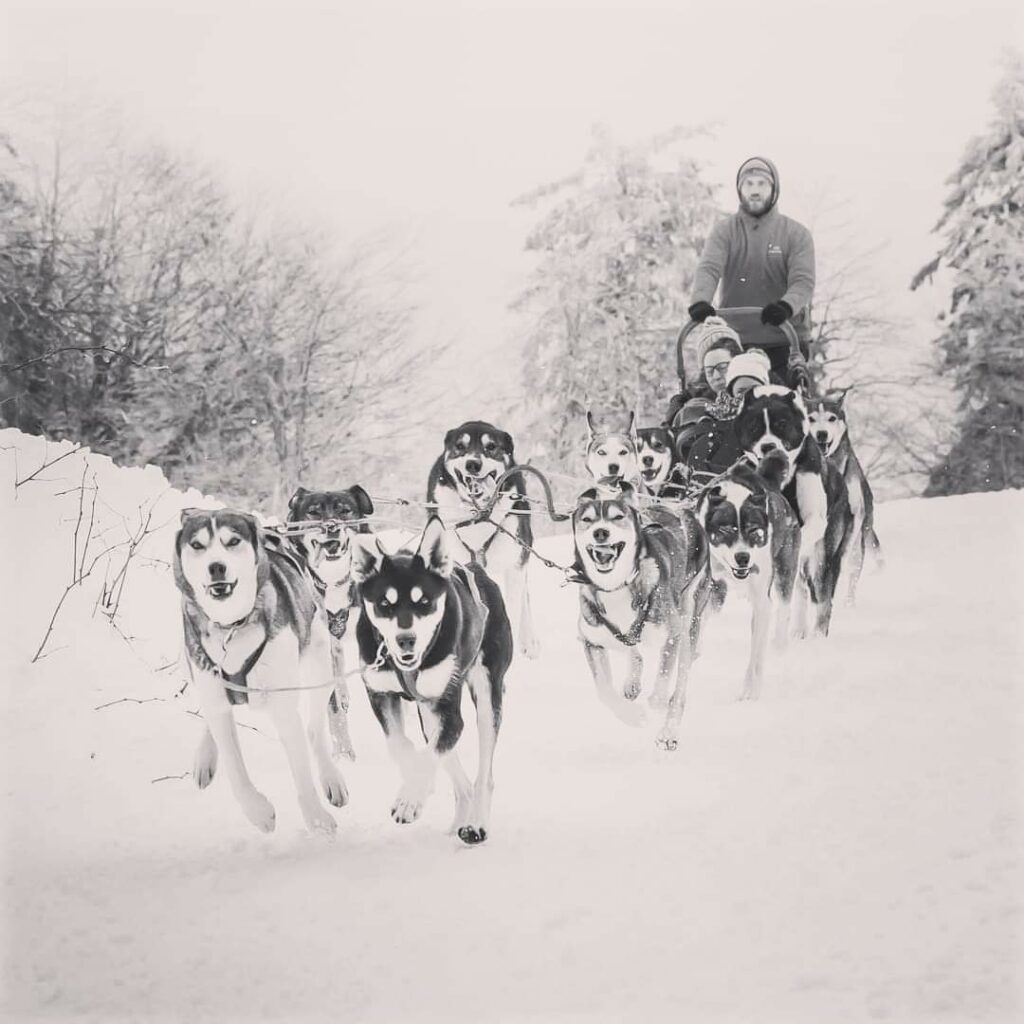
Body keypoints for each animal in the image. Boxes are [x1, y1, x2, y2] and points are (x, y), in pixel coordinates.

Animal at [174, 507, 346, 835]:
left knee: (315, 729)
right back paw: (205, 756)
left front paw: (316, 818)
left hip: (320, 664)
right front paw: (259, 812)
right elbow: (234, 767)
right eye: (197, 545)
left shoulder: (283, 706)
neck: (232, 625)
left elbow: (302, 772)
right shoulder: (212, 690)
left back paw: (332, 778)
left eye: (233, 541)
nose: (216, 567)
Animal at [352, 516, 512, 843]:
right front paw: (415, 785)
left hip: (487, 696)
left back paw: (477, 823)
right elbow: (400, 746)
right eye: (384, 604)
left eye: (423, 601)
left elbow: (428, 757)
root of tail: (478, 569)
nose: (405, 640)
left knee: (483, 773)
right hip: (427, 713)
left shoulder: (450, 713)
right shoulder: (380, 694)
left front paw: (410, 799)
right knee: (455, 772)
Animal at [423, 419, 540, 659]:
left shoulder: (514, 564)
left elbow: (514, 606)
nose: (473, 464)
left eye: (491, 447)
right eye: (460, 446)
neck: (476, 515)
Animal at [700, 458, 802, 704]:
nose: (743, 557)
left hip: (784, 572)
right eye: (726, 529)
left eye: (753, 529)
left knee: (783, 610)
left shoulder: (762, 603)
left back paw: (780, 647)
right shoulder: (711, 587)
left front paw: (750, 690)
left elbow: (755, 654)